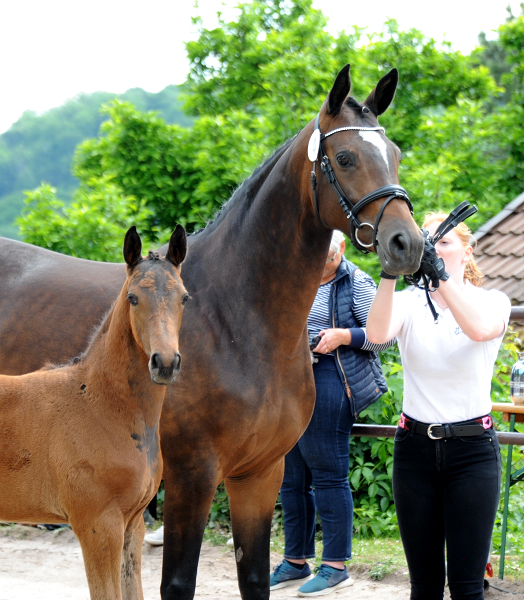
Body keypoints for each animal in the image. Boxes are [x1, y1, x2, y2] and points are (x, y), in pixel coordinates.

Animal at [0, 226, 188, 600]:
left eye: (184, 298)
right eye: (132, 298)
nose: (165, 363)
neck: (100, 406)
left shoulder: (133, 525)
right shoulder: (98, 526)